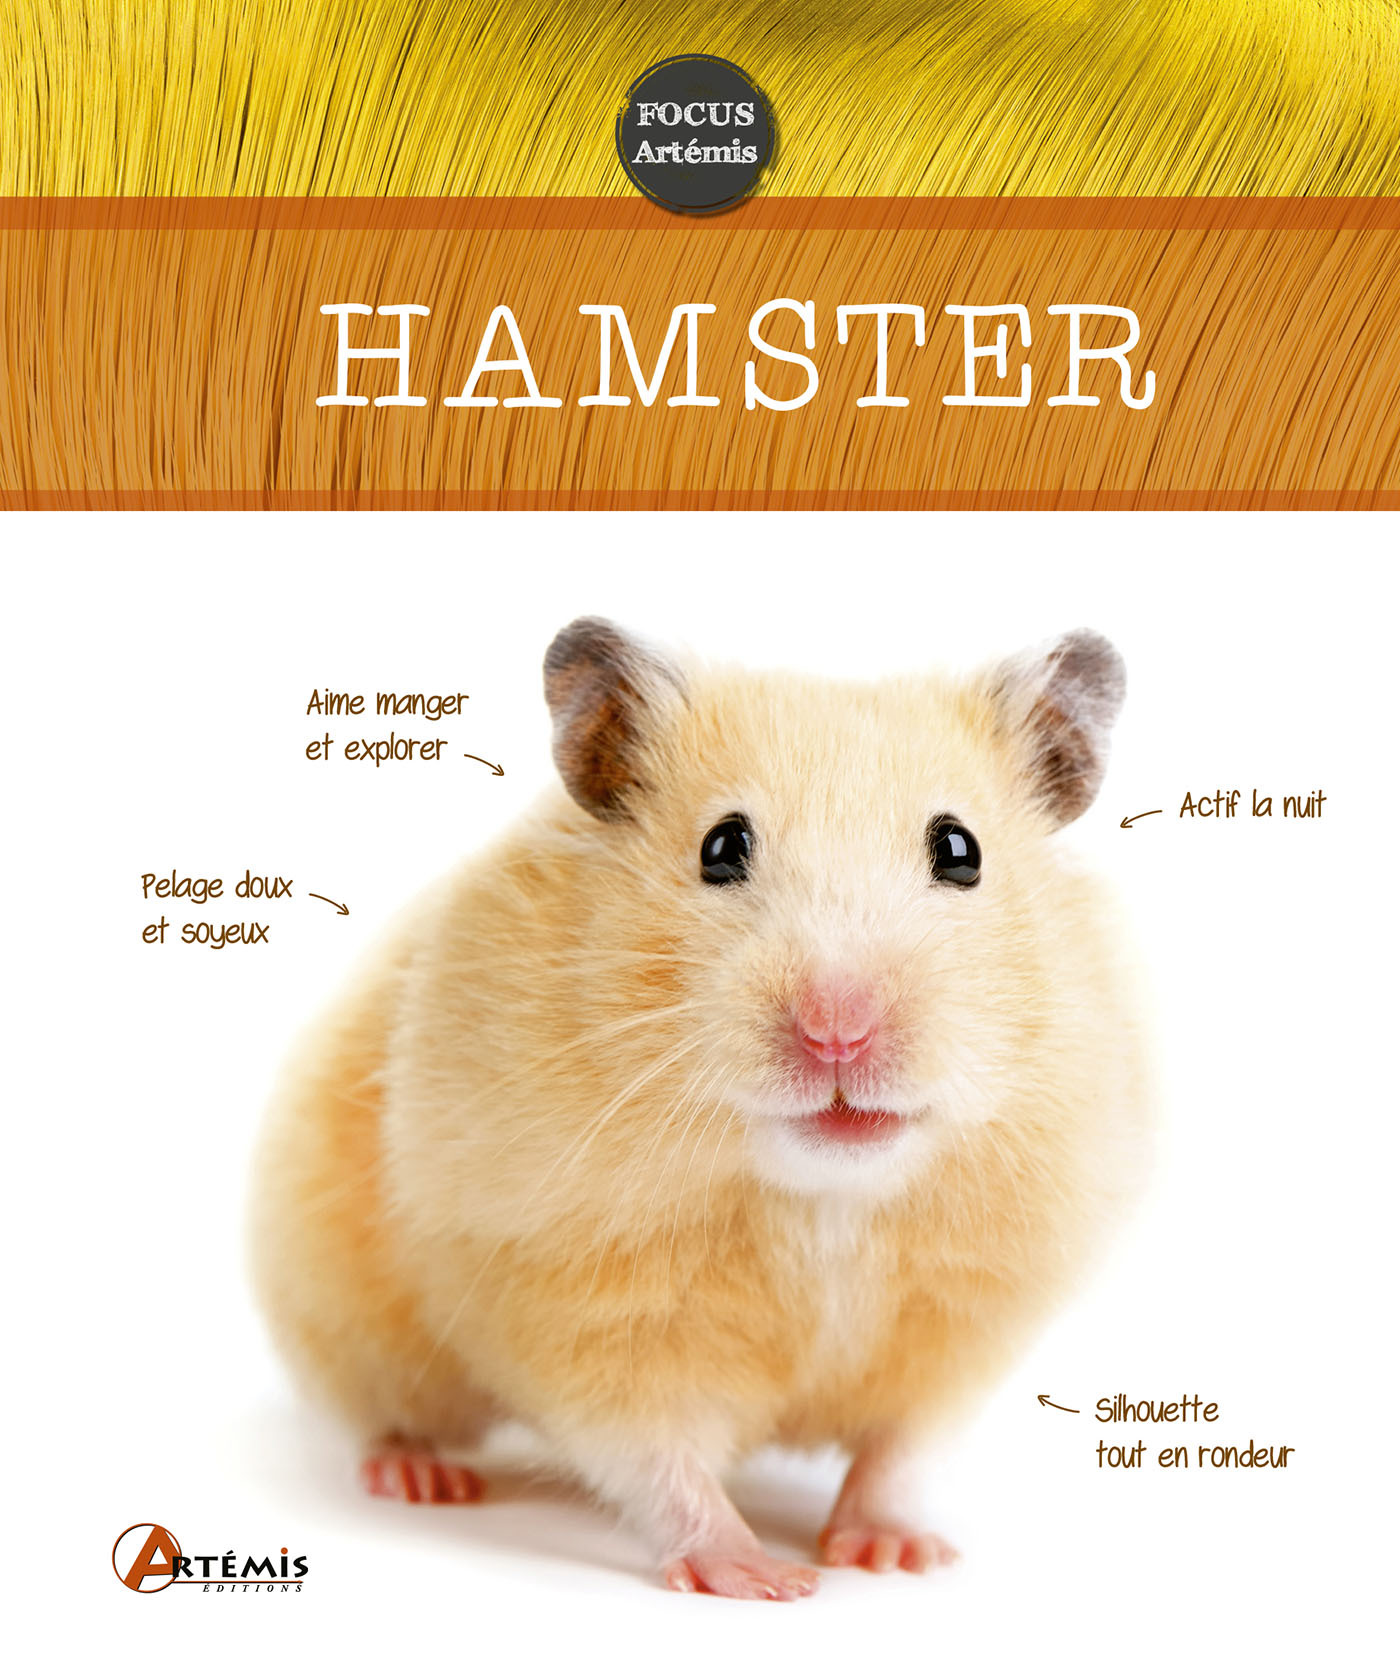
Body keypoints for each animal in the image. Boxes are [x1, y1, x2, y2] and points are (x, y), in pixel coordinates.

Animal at [251, 619, 1149, 1600]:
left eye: (960, 851)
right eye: (722, 847)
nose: (838, 1030)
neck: (823, 1199)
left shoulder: (963, 1329)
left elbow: (901, 1454)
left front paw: (896, 1555)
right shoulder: (577, 1309)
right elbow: (659, 1458)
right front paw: (766, 1578)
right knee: (381, 1413)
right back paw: (419, 1477)